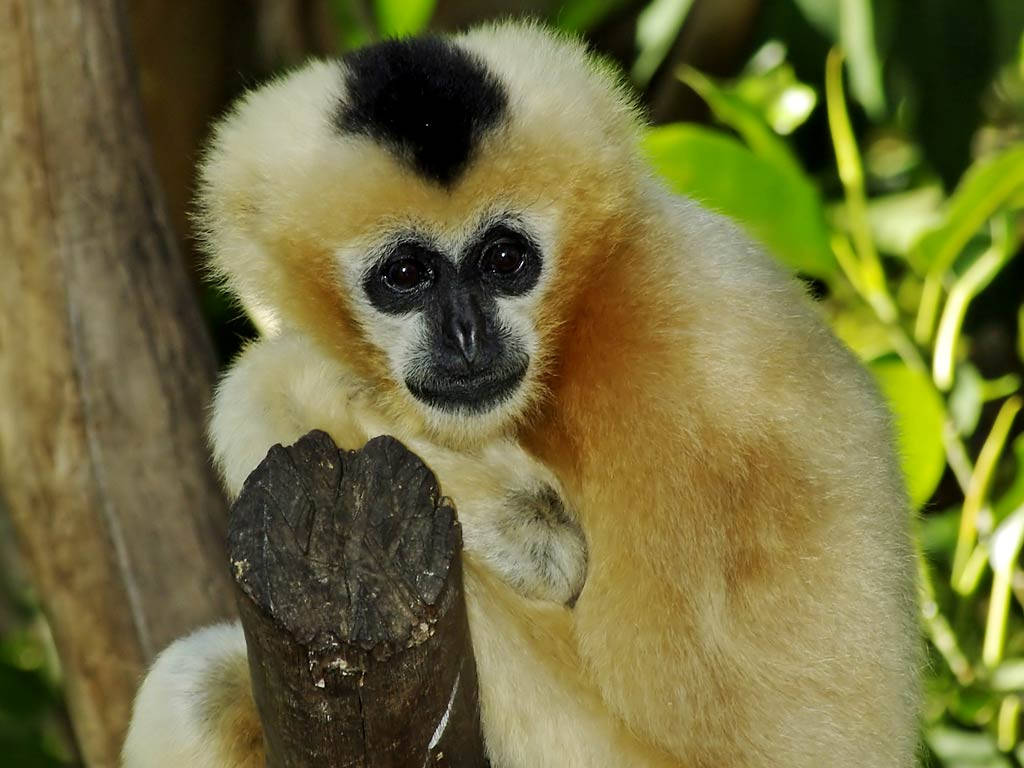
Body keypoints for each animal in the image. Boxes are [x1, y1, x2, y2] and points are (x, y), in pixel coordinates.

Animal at [121, 21, 920, 768]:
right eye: (405, 274)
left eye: (505, 259)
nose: (467, 333)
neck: (580, 328)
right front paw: (522, 511)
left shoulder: (707, 369)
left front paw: (527, 522)